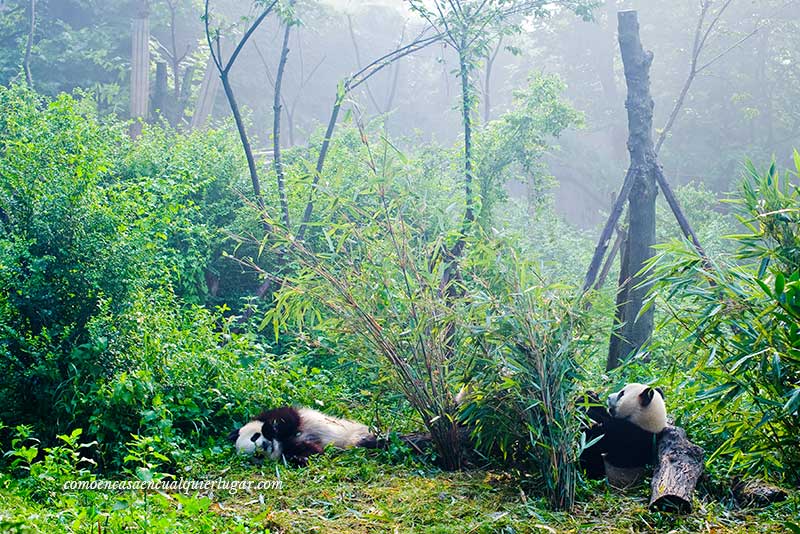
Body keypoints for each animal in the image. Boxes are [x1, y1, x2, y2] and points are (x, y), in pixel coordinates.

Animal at [225, 408, 376, 466]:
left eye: (254, 437)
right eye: (257, 455)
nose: (264, 445)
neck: (281, 442)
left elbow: (287, 418)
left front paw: (270, 428)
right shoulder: (289, 449)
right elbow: (313, 451)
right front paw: (300, 458)